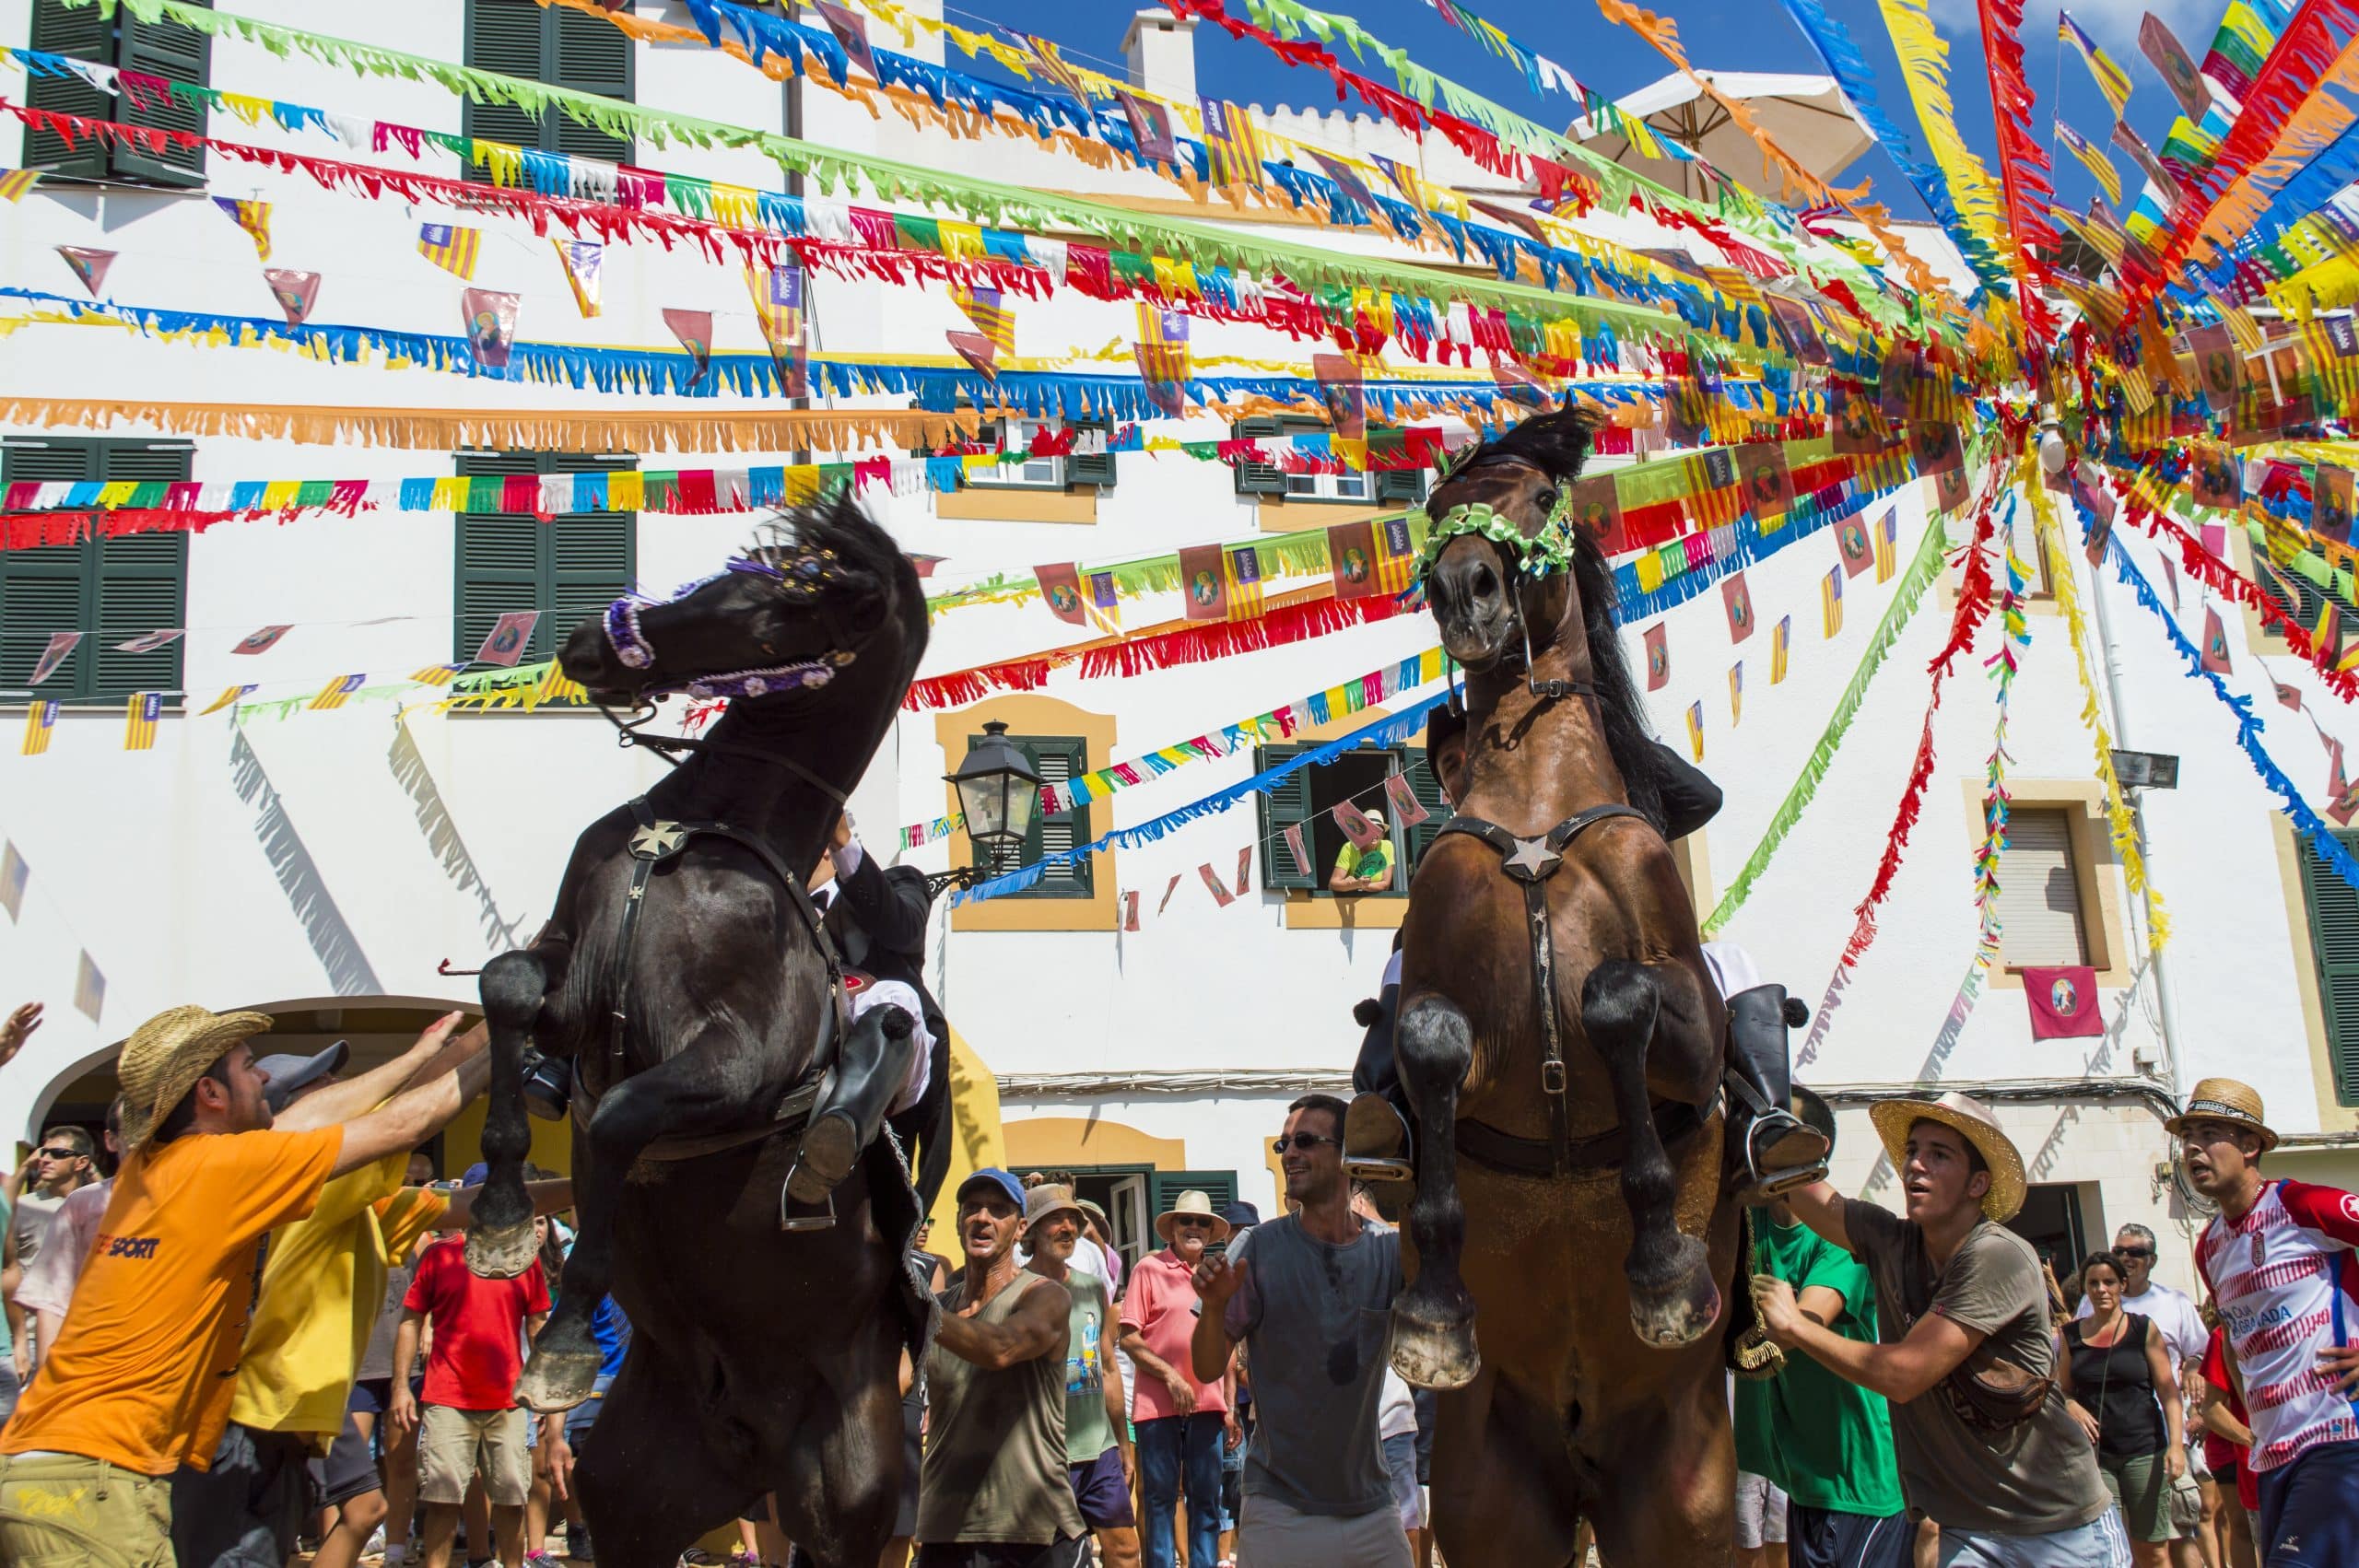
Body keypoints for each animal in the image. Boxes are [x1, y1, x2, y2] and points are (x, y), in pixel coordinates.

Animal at [464, 492, 933, 1565]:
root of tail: (751, 1440)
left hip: (848, 1502)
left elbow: (618, 1119)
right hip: (630, 1497)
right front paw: (501, 1215)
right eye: (728, 574)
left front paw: (559, 1337)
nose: (590, 643)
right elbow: (504, 989)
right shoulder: (567, 976)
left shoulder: (735, 1056)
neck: (696, 837)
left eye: (774, 612)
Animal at [1378, 410, 1755, 1556]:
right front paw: (1434, 1309)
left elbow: (1616, 998)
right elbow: (1432, 1046)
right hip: (1491, 1505)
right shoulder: (1439, 1004)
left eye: (1539, 498)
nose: (1464, 587)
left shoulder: (1691, 1022)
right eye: (1435, 506)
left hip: (1684, 1504)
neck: (1539, 813)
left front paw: (1665, 1268)